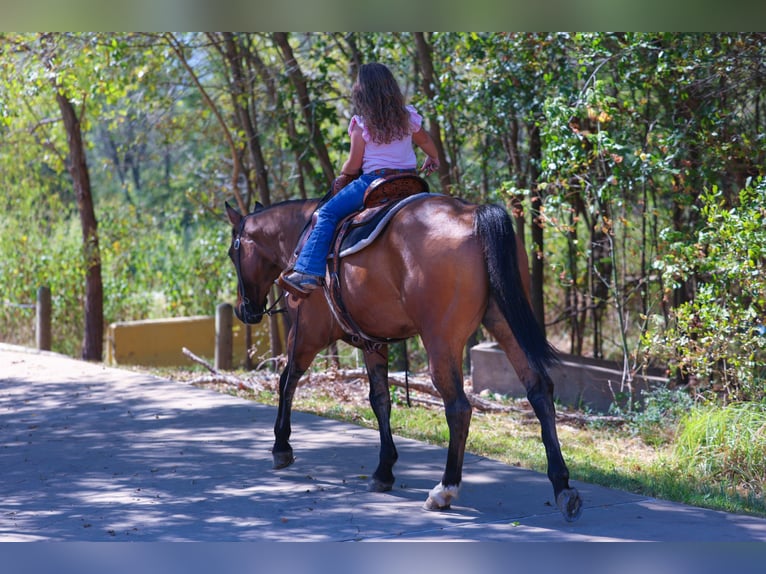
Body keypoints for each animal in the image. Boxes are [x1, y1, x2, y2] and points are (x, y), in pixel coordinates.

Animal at [225, 192, 583, 522]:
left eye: (233, 251)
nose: (245, 310)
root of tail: (473, 215)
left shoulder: (306, 334)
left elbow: (287, 382)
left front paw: (281, 446)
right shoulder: (373, 342)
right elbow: (380, 399)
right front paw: (384, 470)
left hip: (441, 340)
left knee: (458, 408)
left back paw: (445, 489)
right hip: (505, 321)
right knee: (538, 389)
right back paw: (562, 486)